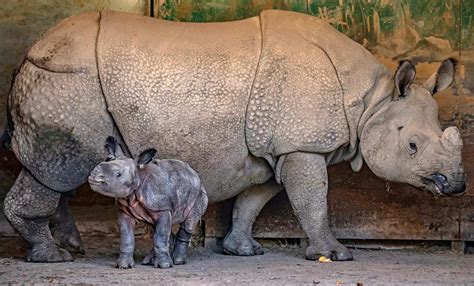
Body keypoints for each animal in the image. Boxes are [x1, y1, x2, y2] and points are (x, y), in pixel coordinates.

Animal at [89, 137, 207, 270]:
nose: (94, 175)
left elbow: (160, 237)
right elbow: (127, 238)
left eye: (118, 175)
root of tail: (194, 173)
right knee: (157, 227)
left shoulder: (162, 207)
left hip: (199, 193)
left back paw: (178, 261)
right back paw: (150, 261)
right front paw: (124, 266)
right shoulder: (125, 211)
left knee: (188, 224)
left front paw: (164, 266)